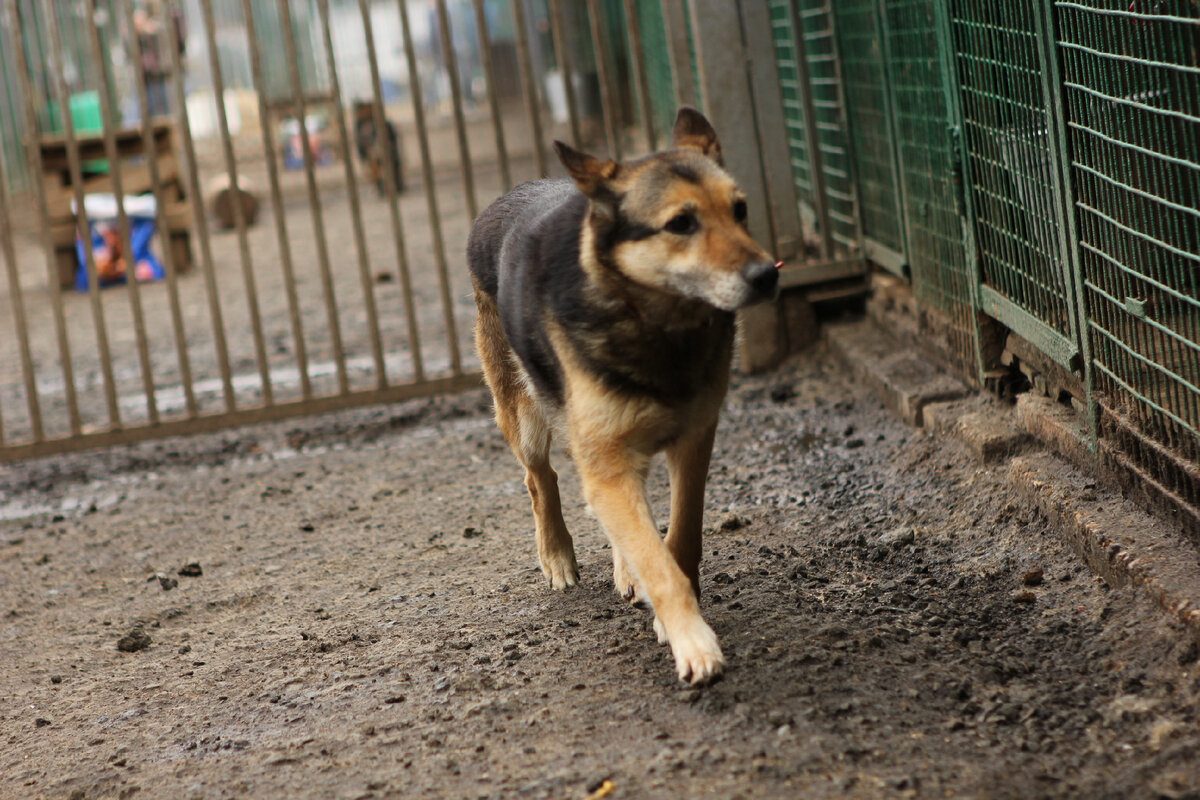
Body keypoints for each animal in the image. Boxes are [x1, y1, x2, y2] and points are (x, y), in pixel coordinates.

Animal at [463, 104, 782, 681]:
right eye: (681, 223)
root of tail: (513, 191)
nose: (767, 275)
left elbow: (678, 538)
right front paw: (692, 640)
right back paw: (557, 555)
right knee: (540, 479)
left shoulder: (692, 440)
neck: (657, 325)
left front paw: (668, 606)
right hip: (526, 419)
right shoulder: (607, 461)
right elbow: (657, 560)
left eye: (740, 210)